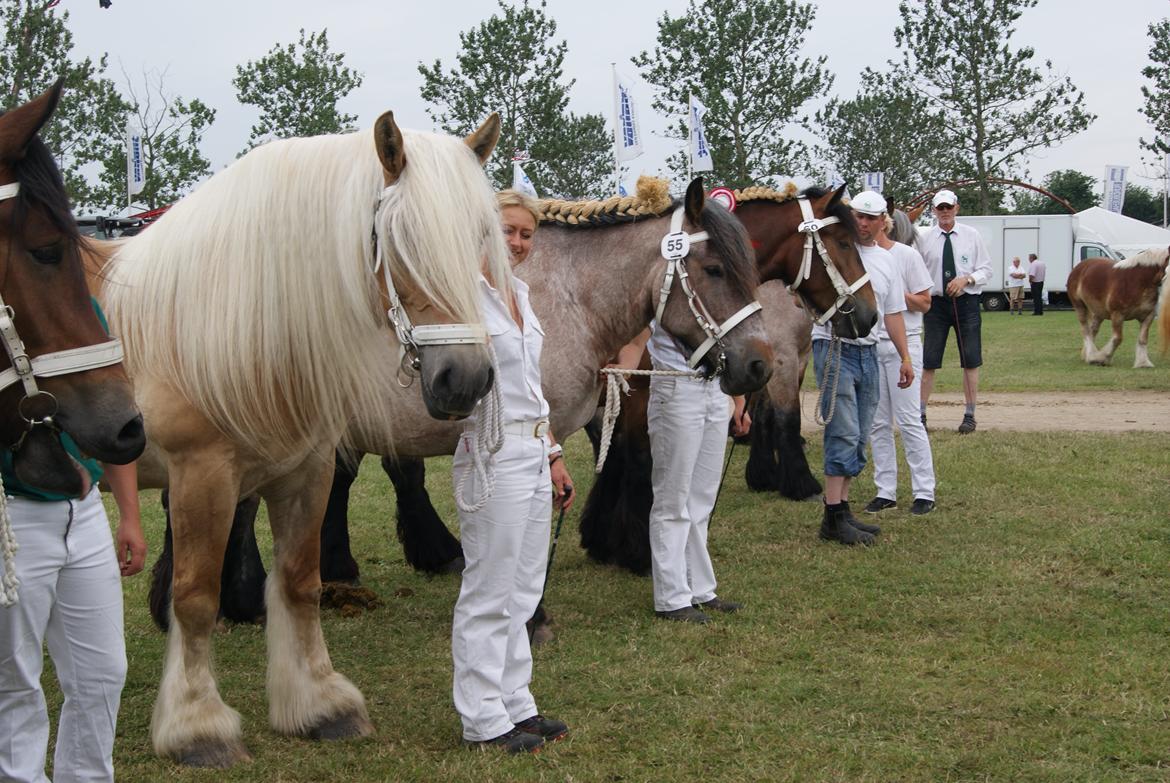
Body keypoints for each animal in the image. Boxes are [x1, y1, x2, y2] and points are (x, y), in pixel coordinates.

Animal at [101, 112, 517, 767]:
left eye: (479, 233)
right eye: (397, 239)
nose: (465, 380)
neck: (239, 319)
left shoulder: (307, 470)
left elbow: (300, 584)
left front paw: (321, 704)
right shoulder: (201, 476)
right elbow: (195, 599)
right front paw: (197, 726)